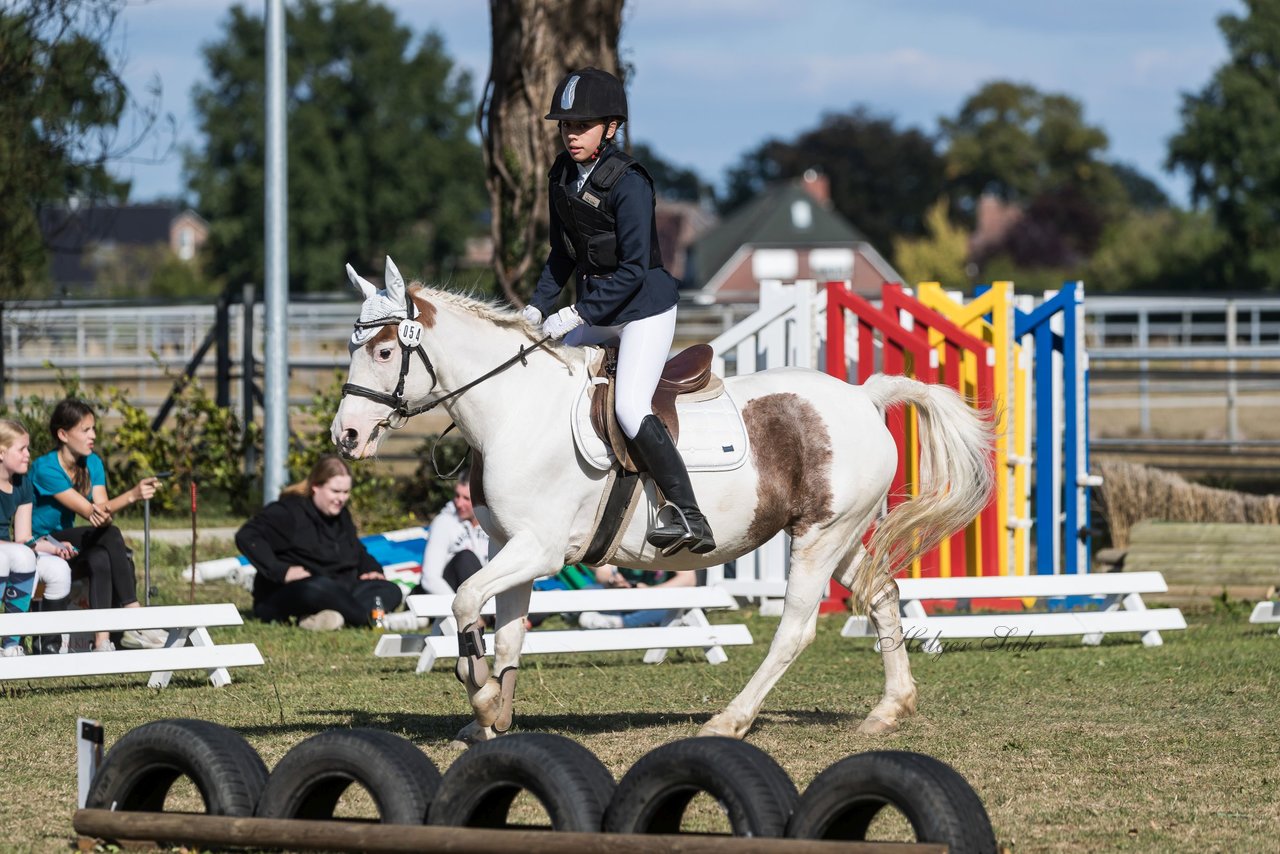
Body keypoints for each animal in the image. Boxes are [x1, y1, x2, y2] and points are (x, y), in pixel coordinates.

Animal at [327, 262, 988, 747]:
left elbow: (465, 599)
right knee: (881, 595)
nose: (346, 436)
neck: (515, 410)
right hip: (841, 536)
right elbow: (508, 633)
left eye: (383, 352)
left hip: (819, 538)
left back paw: (730, 720)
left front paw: (483, 696)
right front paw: (492, 717)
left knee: (796, 630)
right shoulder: (507, 546)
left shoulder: (540, 549)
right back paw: (889, 710)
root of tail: (862, 395)